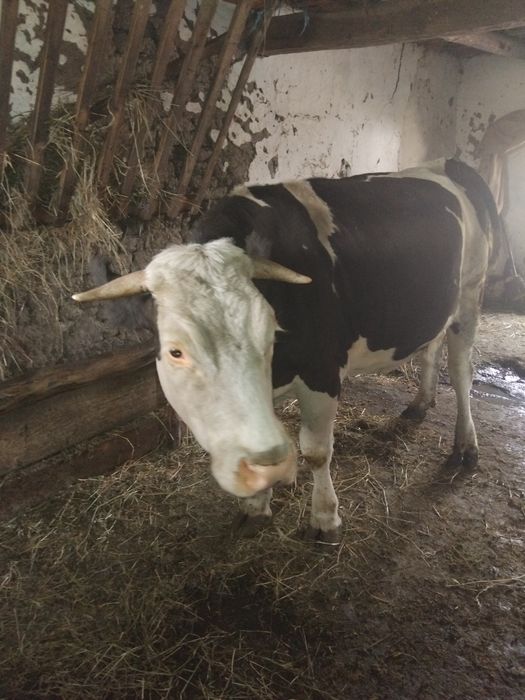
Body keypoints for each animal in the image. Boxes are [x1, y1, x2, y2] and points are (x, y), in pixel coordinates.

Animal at [73, 158, 498, 542]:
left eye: (270, 334)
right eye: (176, 351)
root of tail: (447, 164)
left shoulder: (323, 372)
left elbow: (316, 451)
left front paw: (325, 518)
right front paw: (255, 507)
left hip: (471, 292)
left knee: (461, 370)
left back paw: (465, 447)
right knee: (431, 349)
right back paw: (419, 404)